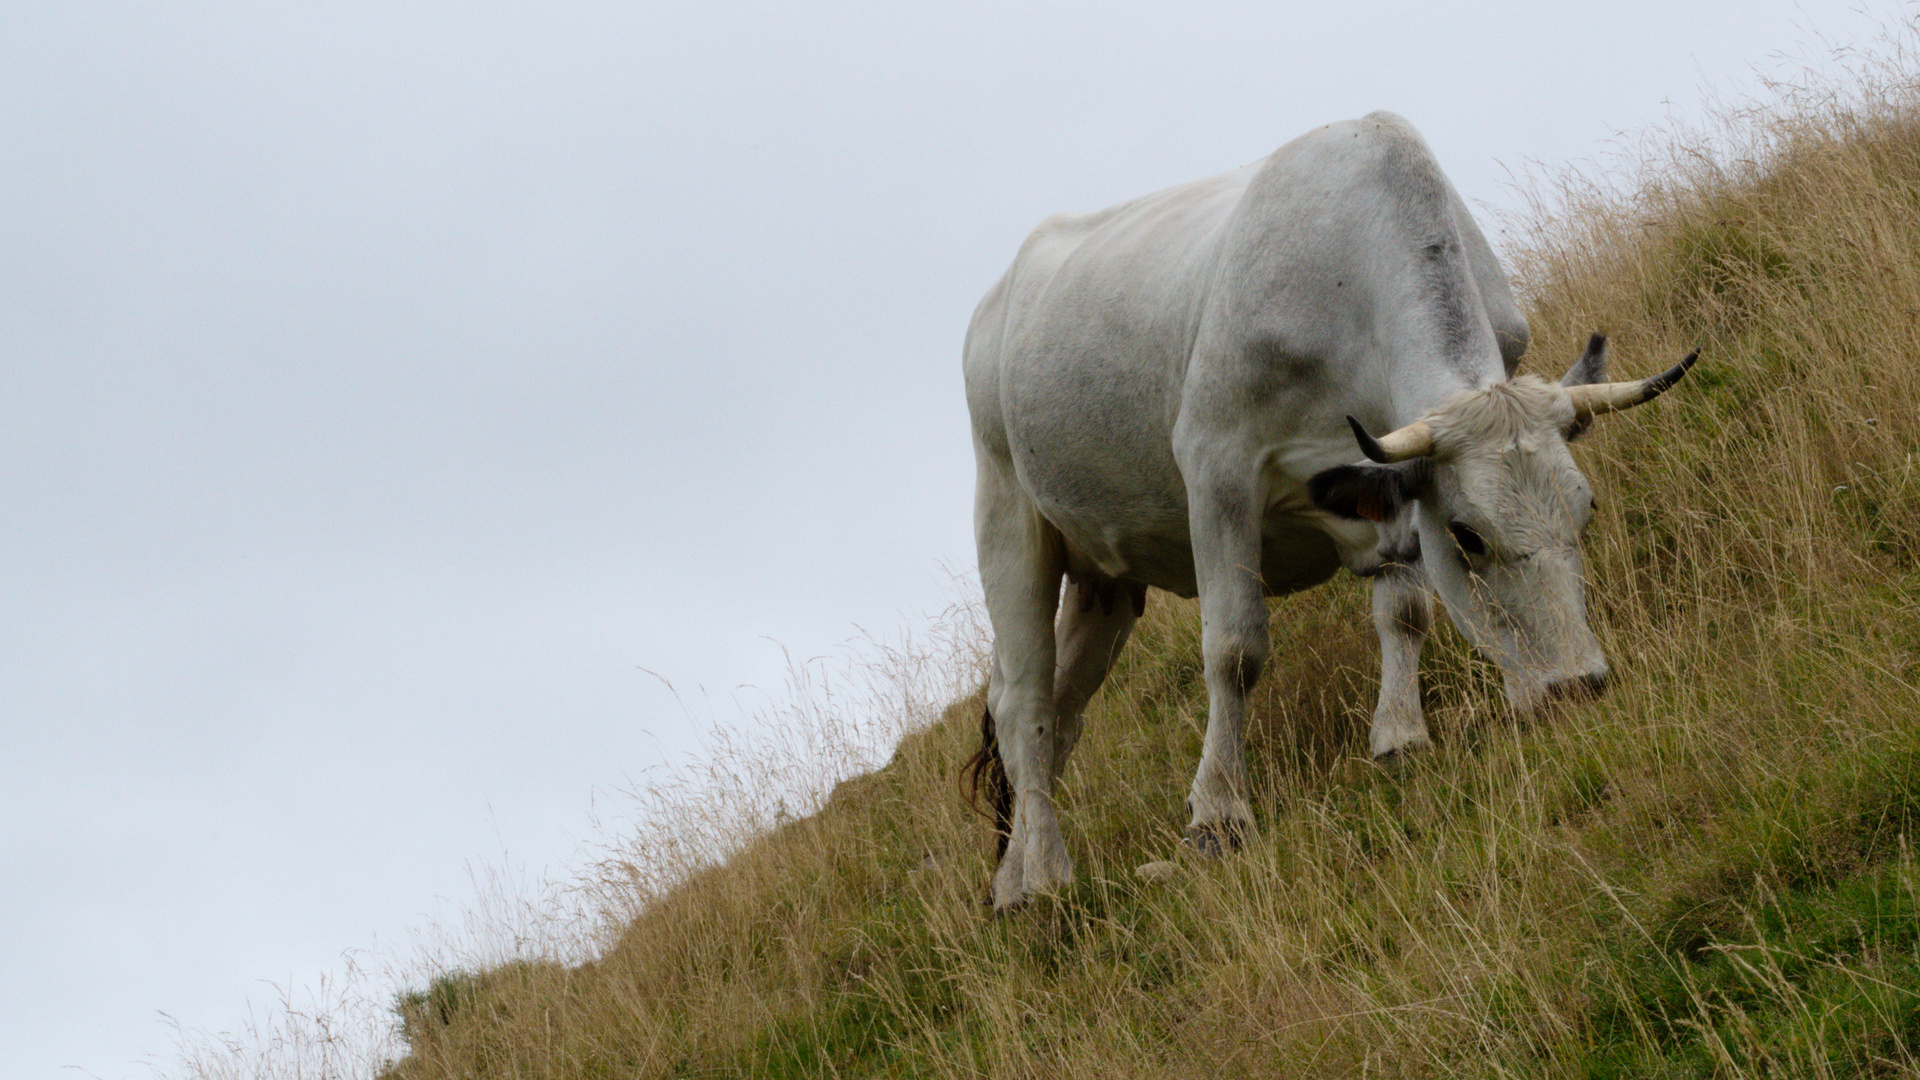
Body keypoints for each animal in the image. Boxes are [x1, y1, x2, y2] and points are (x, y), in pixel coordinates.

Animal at [967, 111, 1689, 907]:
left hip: (1105, 572)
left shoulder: (1394, 491)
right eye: (1468, 536)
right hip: (1008, 517)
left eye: (1586, 512)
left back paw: (1010, 879)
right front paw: (1218, 813)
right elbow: (1234, 648)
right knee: (1022, 703)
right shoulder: (1215, 465)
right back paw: (1047, 878)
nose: (1578, 687)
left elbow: (1406, 611)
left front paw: (1400, 737)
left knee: (1055, 710)